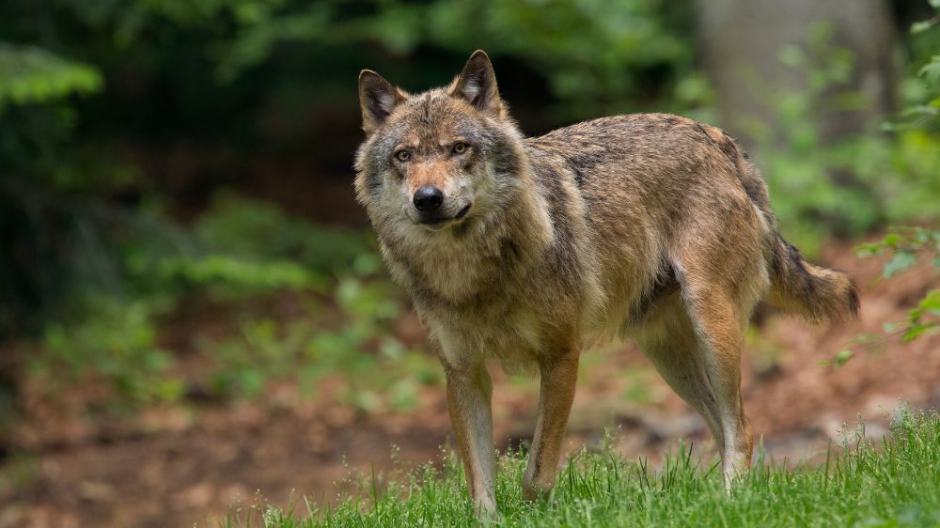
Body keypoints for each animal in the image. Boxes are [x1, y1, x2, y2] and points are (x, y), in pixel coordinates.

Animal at [354, 50, 859, 513]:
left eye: (458, 148)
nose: (427, 199)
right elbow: (480, 488)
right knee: (722, 425)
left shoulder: (561, 357)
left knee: (744, 428)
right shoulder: (462, 374)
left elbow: (537, 472)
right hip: (669, 357)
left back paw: (734, 502)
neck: (472, 274)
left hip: (712, 328)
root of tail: (714, 136)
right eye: (404, 156)